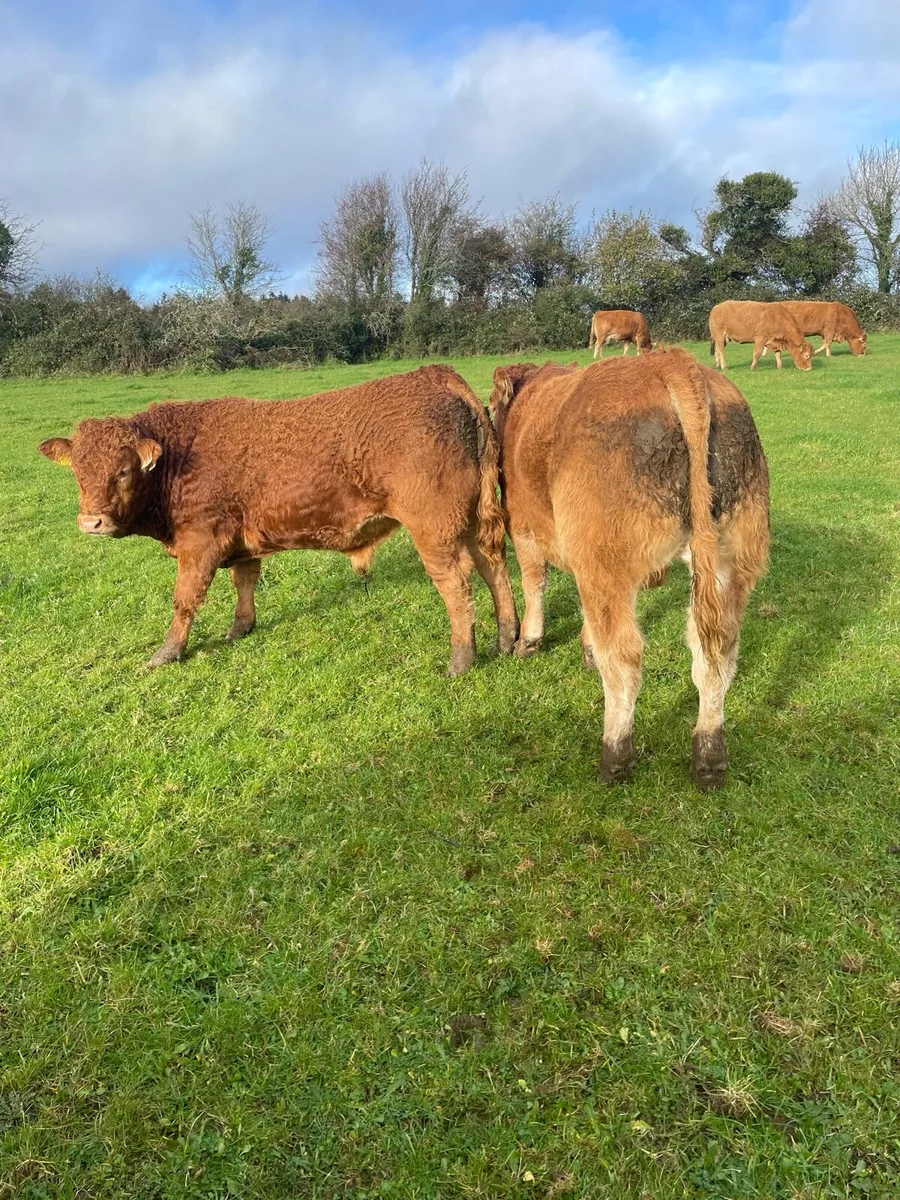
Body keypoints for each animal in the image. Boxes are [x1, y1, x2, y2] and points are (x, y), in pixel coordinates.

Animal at [39, 365, 520, 676]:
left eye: (123, 471)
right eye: (78, 471)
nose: (91, 523)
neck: (179, 458)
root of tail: (436, 375)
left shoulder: (200, 540)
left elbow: (184, 601)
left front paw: (167, 653)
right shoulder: (240, 537)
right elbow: (245, 581)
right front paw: (240, 628)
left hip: (435, 528)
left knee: (457, 582)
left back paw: (462, 658)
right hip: (471, 521)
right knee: (493, 567)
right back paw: (508, 637)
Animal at [490, 349, 770, 790]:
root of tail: (673, 362)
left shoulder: (525, 525)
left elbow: (535, 582)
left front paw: (528, 641)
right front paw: (586, 647)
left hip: (607, 560)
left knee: (624, 658)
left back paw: (615, 755)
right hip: (733, 556)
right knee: (715, 653)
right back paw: (709, 756)